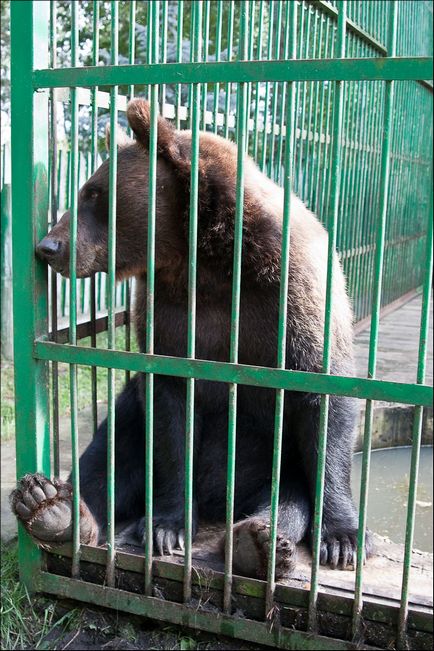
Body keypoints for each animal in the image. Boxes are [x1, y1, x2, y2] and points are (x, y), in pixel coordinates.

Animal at [10, 98, 372, 580]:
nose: (48, 247)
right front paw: (165, 526)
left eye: (94, 193)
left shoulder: (295, 295)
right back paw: (53, 508)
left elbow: (323, 395)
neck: (207, 261)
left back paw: (257, 539)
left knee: (287, 491)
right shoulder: (168, 312)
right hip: (130, 422)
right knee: (113, 447)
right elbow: (170, 413)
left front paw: (343, 537)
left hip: (273, 459)